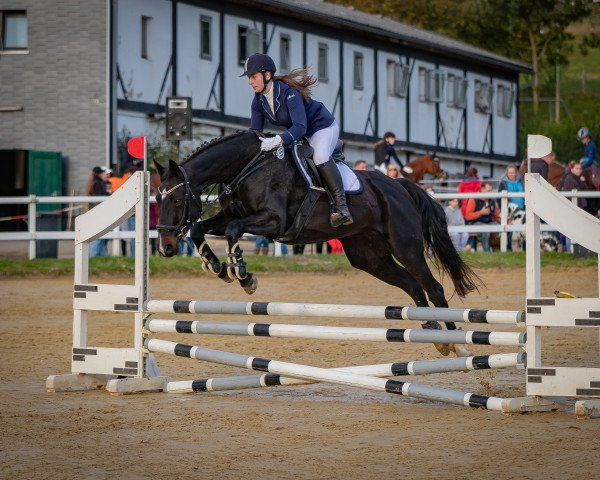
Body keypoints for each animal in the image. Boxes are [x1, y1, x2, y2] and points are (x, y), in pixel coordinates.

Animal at [154, 131, 478, 356]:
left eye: (177, 199)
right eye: (157, 199)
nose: (165, 247)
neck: (245, 168)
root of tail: (400, 186)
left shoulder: (273, 220)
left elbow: (233, 231)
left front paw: (244, 276)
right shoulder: (232, 216)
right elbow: (199, 228)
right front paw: (218, 267)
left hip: (405, 247)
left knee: (433, 287)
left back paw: (456, 343)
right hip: (369, 257)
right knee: (412, 285)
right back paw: (434, 334)